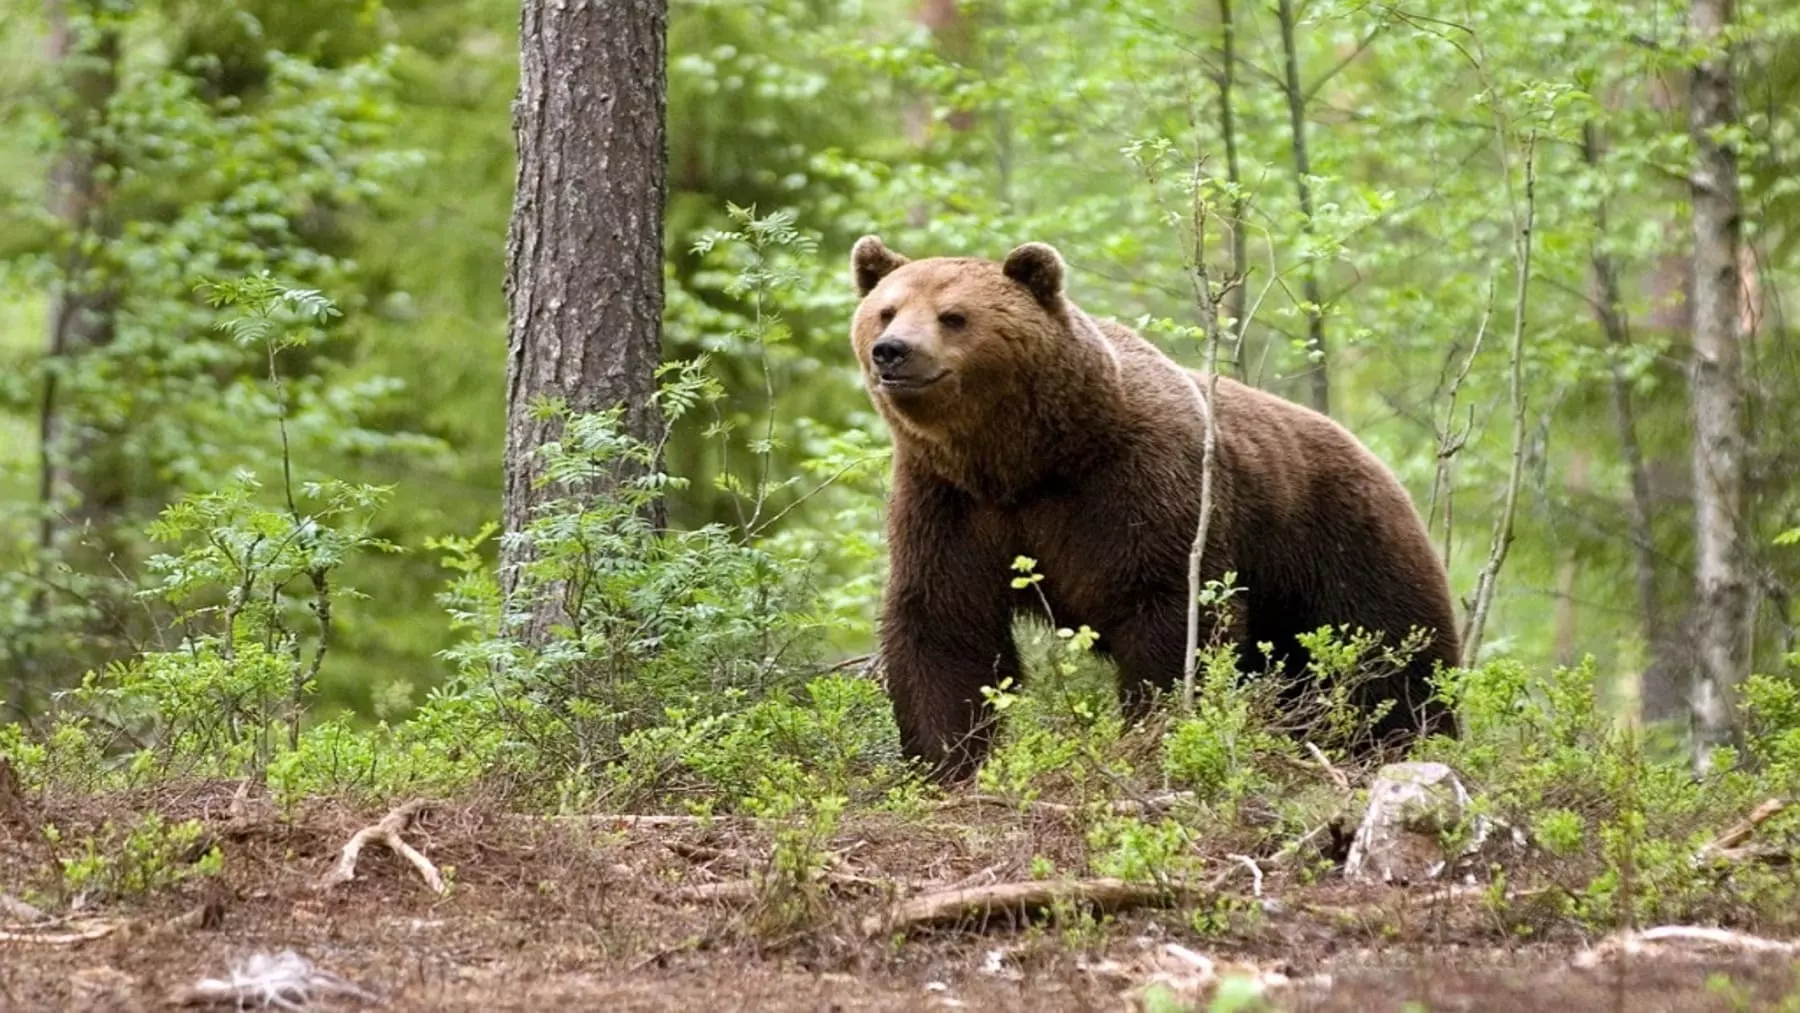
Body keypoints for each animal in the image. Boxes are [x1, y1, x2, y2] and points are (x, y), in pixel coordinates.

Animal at [848, 235, 1462, 782]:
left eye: (953, 316)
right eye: (886, 311)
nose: (893, 351)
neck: (1027, 459)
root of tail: (1381, 465)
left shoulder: (1139, 483)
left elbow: (1167, 608)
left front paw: (1153, 728)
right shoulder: (950, 502)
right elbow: (945, 623)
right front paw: (947, 759)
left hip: (1341, 546)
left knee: (1394, 659)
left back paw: (1413, 738)